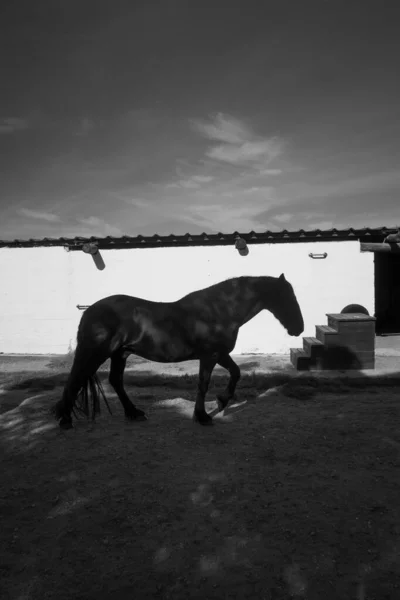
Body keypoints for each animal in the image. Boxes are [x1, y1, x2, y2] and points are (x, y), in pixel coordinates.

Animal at [53, 274, 304, 428]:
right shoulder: (210, 356)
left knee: (114, 380)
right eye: (286, 298)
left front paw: (222, 401)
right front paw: (202, 416)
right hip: (96, 352)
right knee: (75, 379)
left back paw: (134, 413)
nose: (299, 328)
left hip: (120, 353)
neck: (218, 310)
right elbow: (203, 383)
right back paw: (65, 419)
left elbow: (236, 372)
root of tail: (90, 310)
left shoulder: (220, 354)